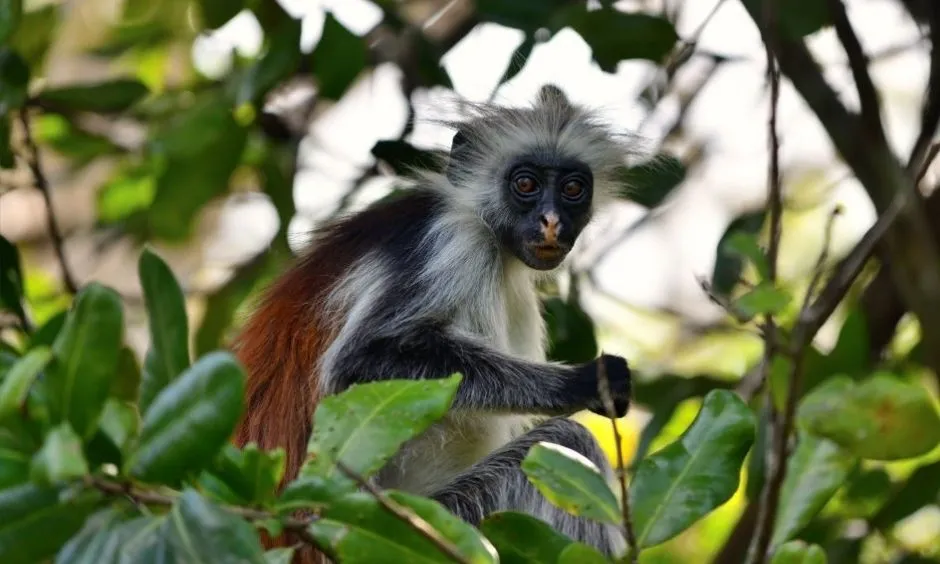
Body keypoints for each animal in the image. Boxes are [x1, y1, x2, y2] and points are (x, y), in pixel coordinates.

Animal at [232, 84, 634, 563]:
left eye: (573, 189)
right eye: (525, 184)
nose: (551, 220)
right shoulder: (449, 243)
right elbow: (360, 361)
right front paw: (584, 382)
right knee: (566, 443)